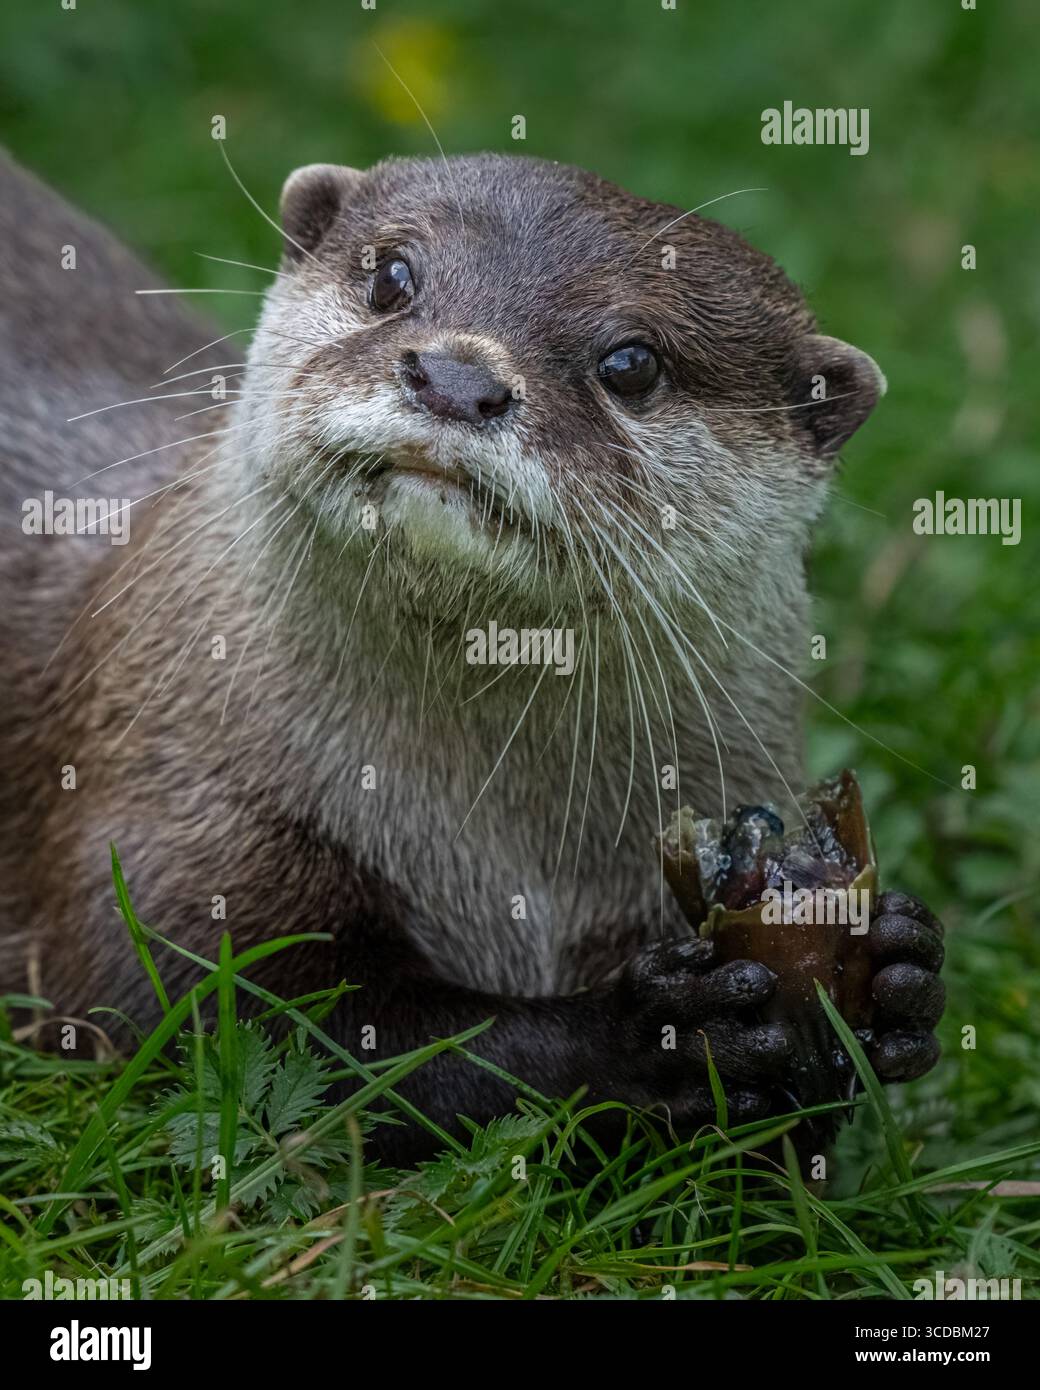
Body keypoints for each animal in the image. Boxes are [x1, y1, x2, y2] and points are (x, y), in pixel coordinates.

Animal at [0, 149, 944, 1161]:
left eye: (632, 362)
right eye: (391, 276)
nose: (455, 377)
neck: (500, 857)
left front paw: (898, 972)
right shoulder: (172, 808)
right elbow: (244, 1021)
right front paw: (653, 1039)